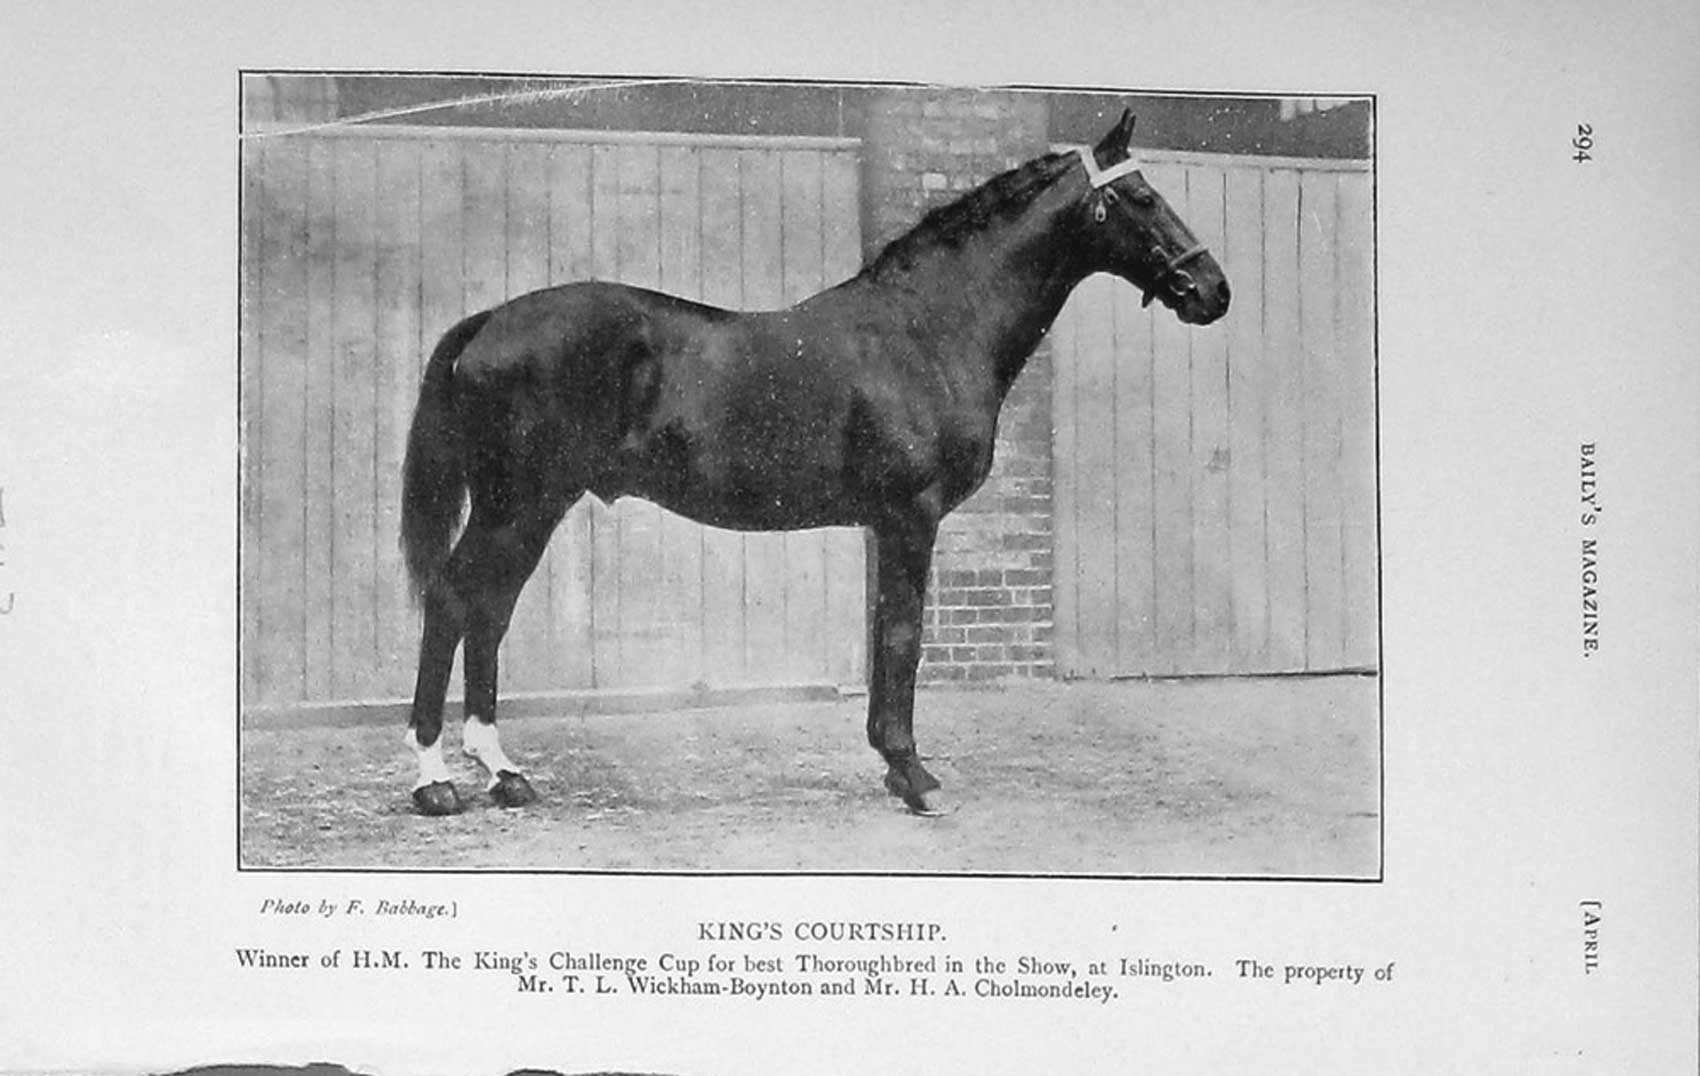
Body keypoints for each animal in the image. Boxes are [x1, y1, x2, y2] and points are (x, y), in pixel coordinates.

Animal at [398, 110, 1230, 818]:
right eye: (1142, 197)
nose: (1213, 291)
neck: (929, 329)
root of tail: (487, 322)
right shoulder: (910, 516)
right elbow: (902, 637)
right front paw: (915, 777)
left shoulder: (886, 523)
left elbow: (887, 633)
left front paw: (895, 768)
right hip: (516, 503)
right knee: (454, 599)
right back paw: (435, 781)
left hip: (534, 506)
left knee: (490, 610)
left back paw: (505, 774)